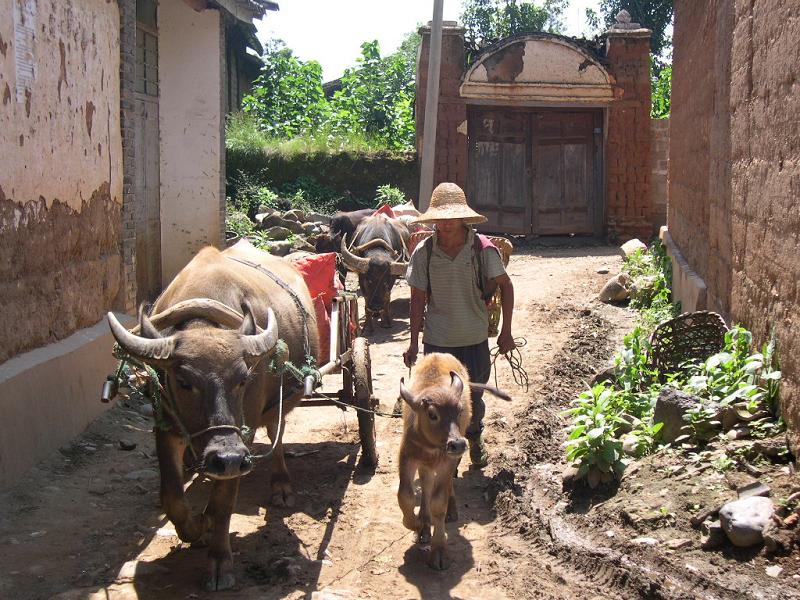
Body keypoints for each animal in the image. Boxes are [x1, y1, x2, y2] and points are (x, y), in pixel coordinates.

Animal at [107, 239, 318, 592]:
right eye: (183, 381)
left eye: (243, 378)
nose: (227, 456)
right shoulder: (166, 426)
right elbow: (172, 497)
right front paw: (196, 527)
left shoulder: (242, 435)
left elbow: (223, 502)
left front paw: (219, 560)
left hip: (278, 403)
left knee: (277, 434)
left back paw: (281, 486)